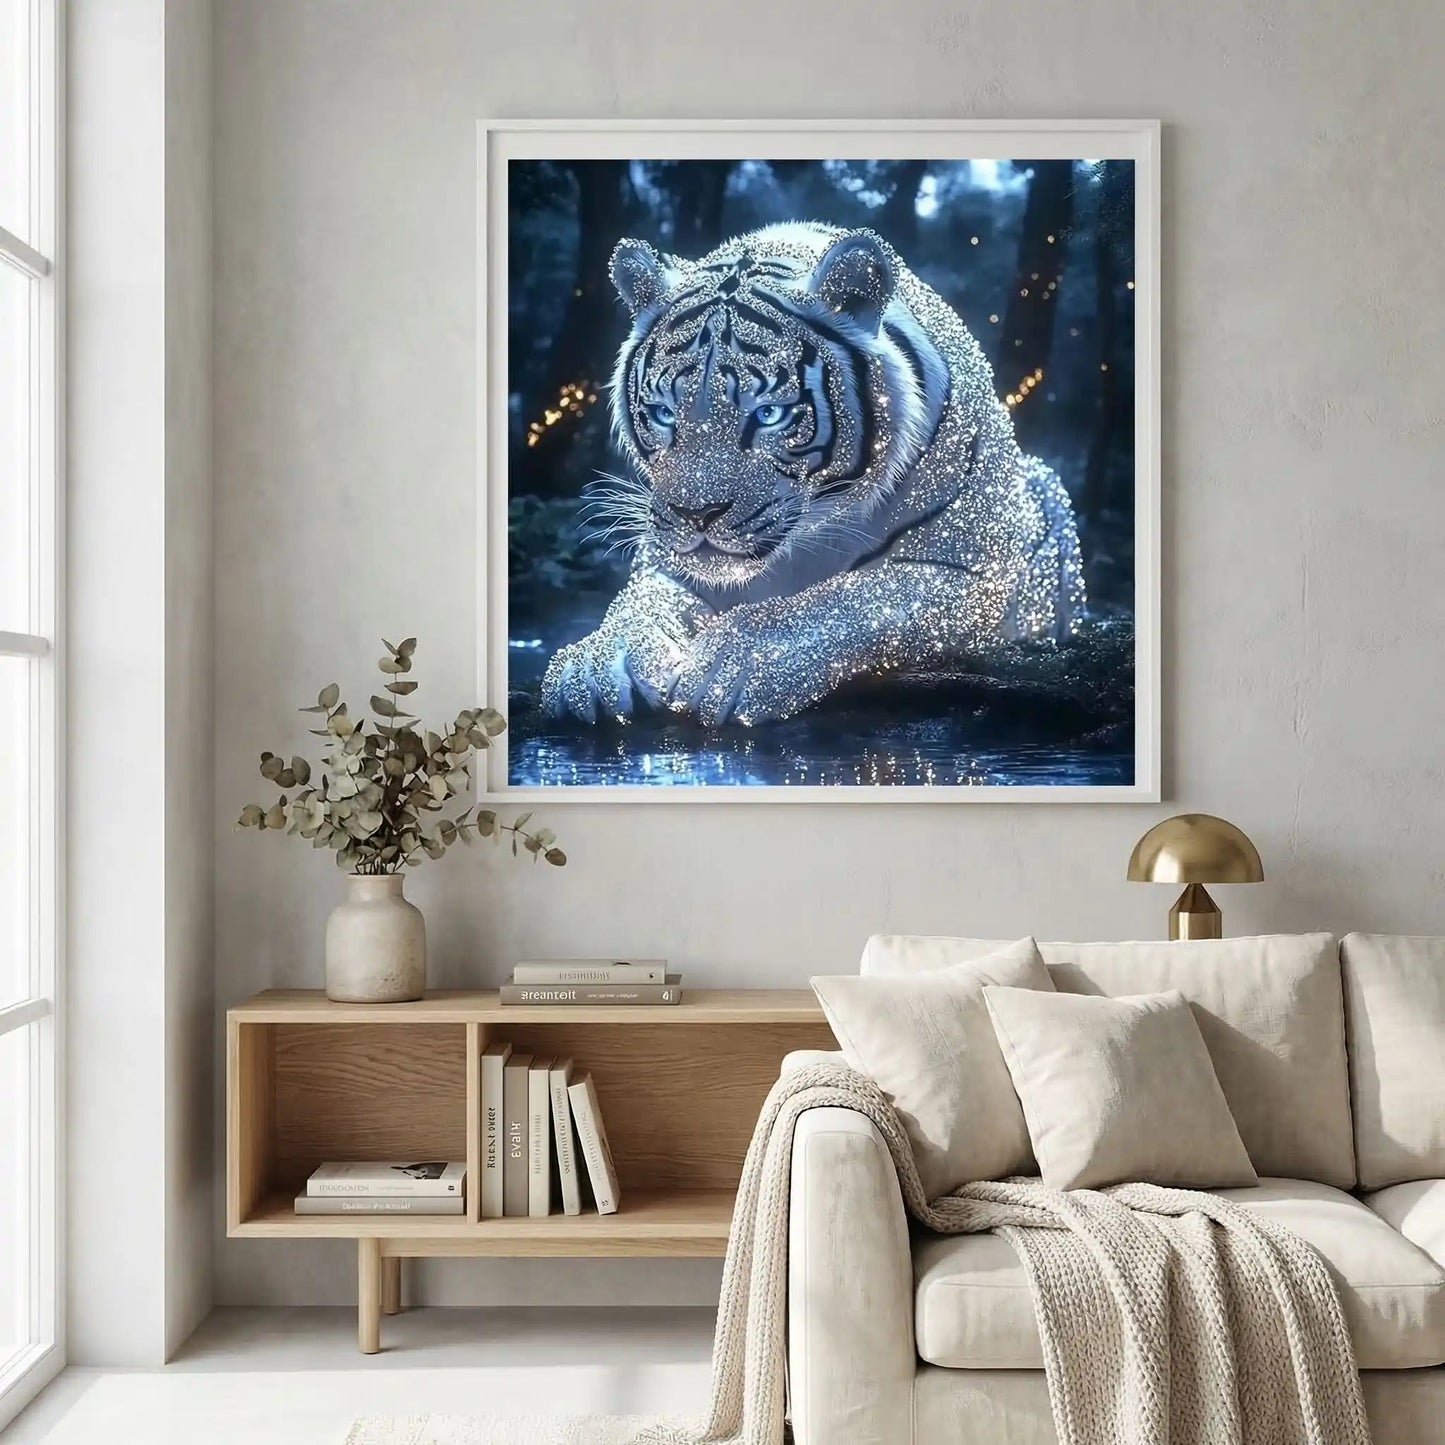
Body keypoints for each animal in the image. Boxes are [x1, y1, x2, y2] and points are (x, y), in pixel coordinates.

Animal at [539, 221, 1085, 727]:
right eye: (663, 413)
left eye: (768, 415)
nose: (696, 515)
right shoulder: (665, 564)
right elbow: (637, 608)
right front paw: (592, 666)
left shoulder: (972, 573)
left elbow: (854, 599)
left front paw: (738, 662)